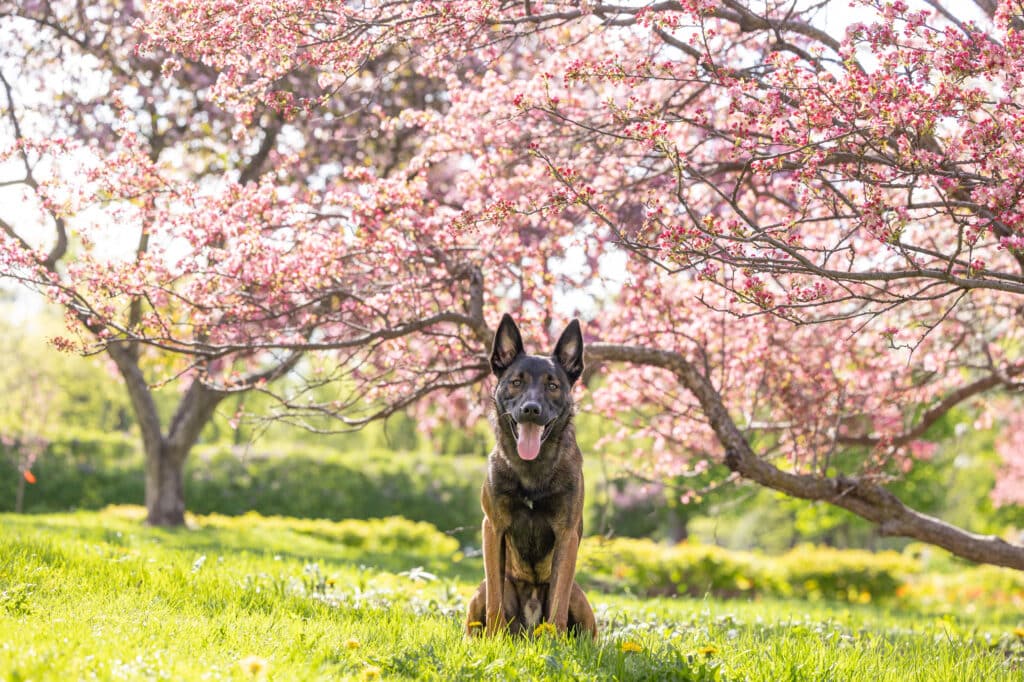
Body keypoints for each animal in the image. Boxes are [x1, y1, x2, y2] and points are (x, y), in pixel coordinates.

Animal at [466, 313, 598, 638]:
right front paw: (494, 638)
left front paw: (555, 641)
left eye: (552, 385)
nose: (531, 409)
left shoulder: (567, 533)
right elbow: (495, 599)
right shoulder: (493, 528)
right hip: (482, 588)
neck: (531, 469)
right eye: (516, 382)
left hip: (580, 598)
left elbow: (559, 599)